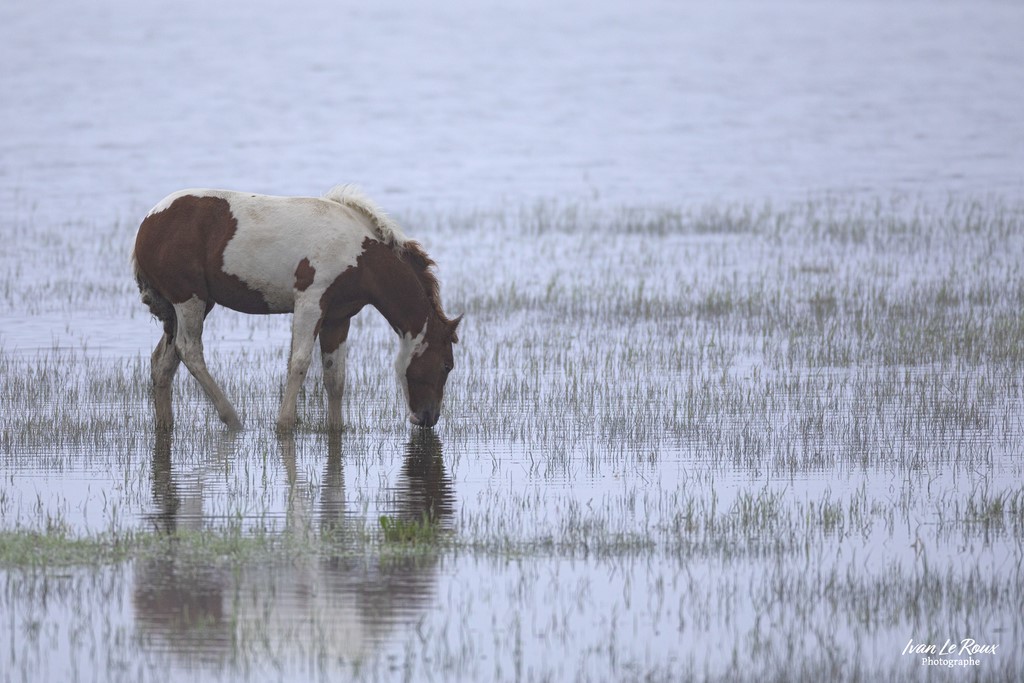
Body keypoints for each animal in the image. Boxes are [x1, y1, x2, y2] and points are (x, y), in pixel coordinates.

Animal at [132, 185, 460, 432]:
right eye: (447, 365)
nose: (428, 418)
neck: (360, 253)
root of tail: (147, 224)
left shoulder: (338, 318)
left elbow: (335, 376)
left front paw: (336, 428)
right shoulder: (310, 303)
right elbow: (299, 362)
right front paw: (285, 423)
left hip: (186, 307)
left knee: (163, 362)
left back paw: (166, 424)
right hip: (189, 299)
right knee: (190, 351)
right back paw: (233, 419)